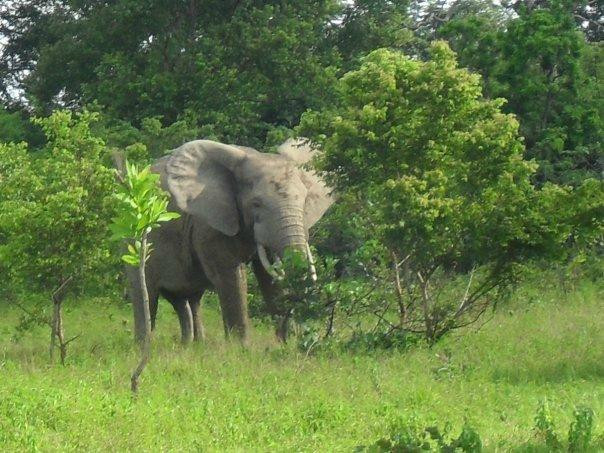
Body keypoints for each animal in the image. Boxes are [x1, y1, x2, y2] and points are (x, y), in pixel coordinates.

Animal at [126, 138, 336, 342]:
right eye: (256, 204)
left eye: (305, 200)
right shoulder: (210, 227)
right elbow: (231, 278)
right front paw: (240, 347)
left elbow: (270, 278)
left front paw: (287, 344)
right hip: (135, 237)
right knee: (146, 292)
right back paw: (144, 344)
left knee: (188, 299)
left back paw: (194, 346)